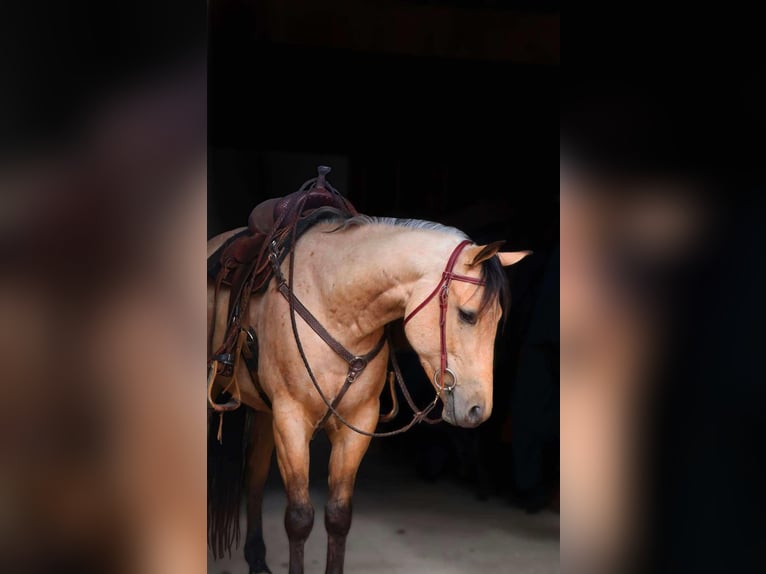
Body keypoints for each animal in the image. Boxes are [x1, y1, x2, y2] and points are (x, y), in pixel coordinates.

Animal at [207, 212, 529, 574]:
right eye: (467, 315)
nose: (478, 410)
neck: (334, 302)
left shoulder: (358, 421)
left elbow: (338, 516)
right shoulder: (291, 419)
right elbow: (299, 518)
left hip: (264, 412)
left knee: (255, 476)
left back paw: (258, 559)